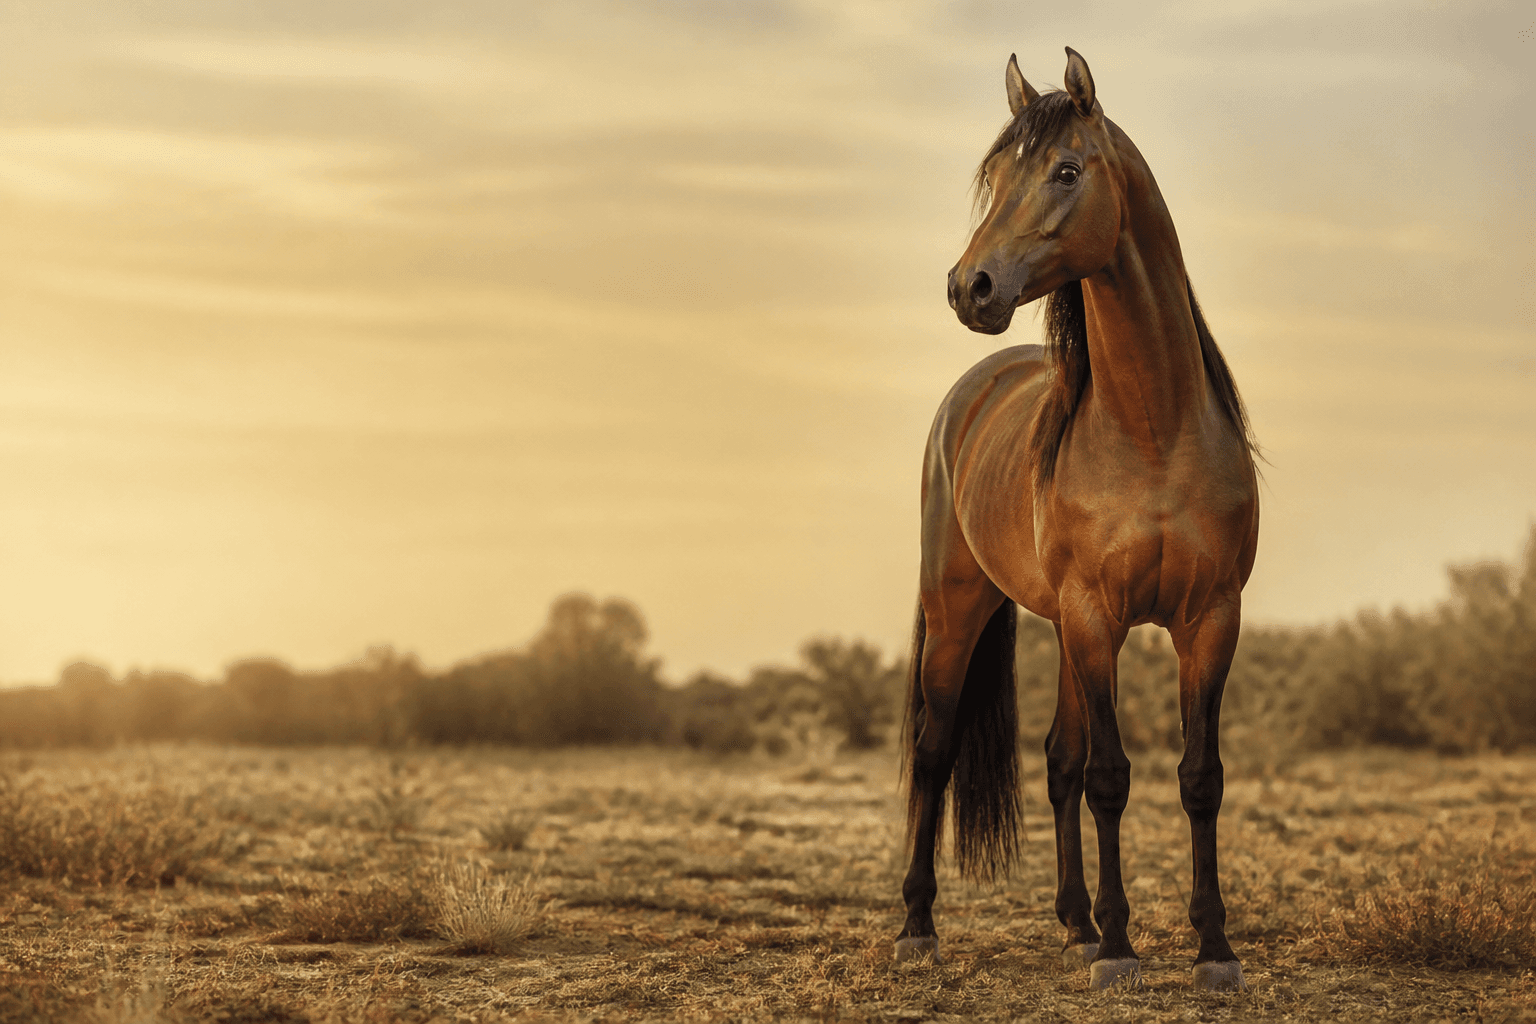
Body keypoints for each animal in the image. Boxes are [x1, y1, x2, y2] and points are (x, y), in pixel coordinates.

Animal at [895, 48, 1260, 993]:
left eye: (1066, 170)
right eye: (995, 178)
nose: (969, 287)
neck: (1154, 427)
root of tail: (970, 393)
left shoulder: (1211, 620)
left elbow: (1196, 776)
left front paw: (1212, 949)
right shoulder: (1098, 615)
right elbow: (1109, 776)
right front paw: (1126, 949)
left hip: (1060, 628)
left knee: (1055, 761)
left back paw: (1075, 925)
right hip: (960, 611)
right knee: (935, 751)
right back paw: (918, 926)